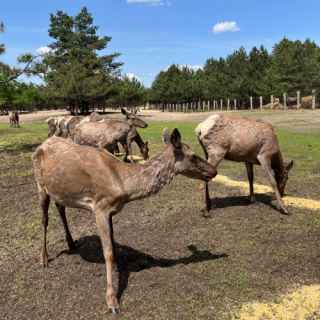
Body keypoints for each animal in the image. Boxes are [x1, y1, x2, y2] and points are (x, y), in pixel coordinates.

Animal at [31, 127, 218, 312]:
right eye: (193, 156)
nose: (214, 171)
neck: (124, 186)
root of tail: (42, 144)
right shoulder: (100, 207)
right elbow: (107, 253)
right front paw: (112, 300)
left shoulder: (111, 211)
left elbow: (114, 246)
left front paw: (117, 269)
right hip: (40, 184)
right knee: (44, 219)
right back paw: (44, 258)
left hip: (59, 192)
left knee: (60, 208)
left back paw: (71, 243)